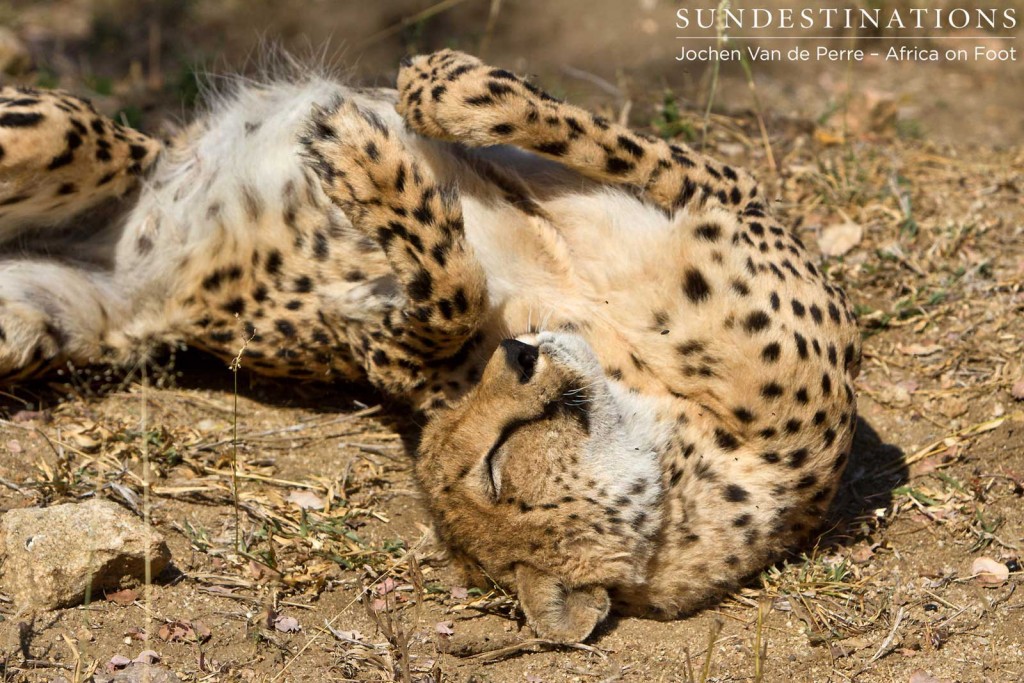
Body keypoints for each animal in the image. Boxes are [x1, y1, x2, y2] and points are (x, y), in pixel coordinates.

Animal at [4, 50, 860, 643]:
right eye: (487, 444)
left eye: (495, 464)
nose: (519, 355)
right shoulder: (718, 184)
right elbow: (550, 137)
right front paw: (419, 101)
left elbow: (450, 290)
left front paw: (375, 163)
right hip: (75, 137)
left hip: (44, 315)